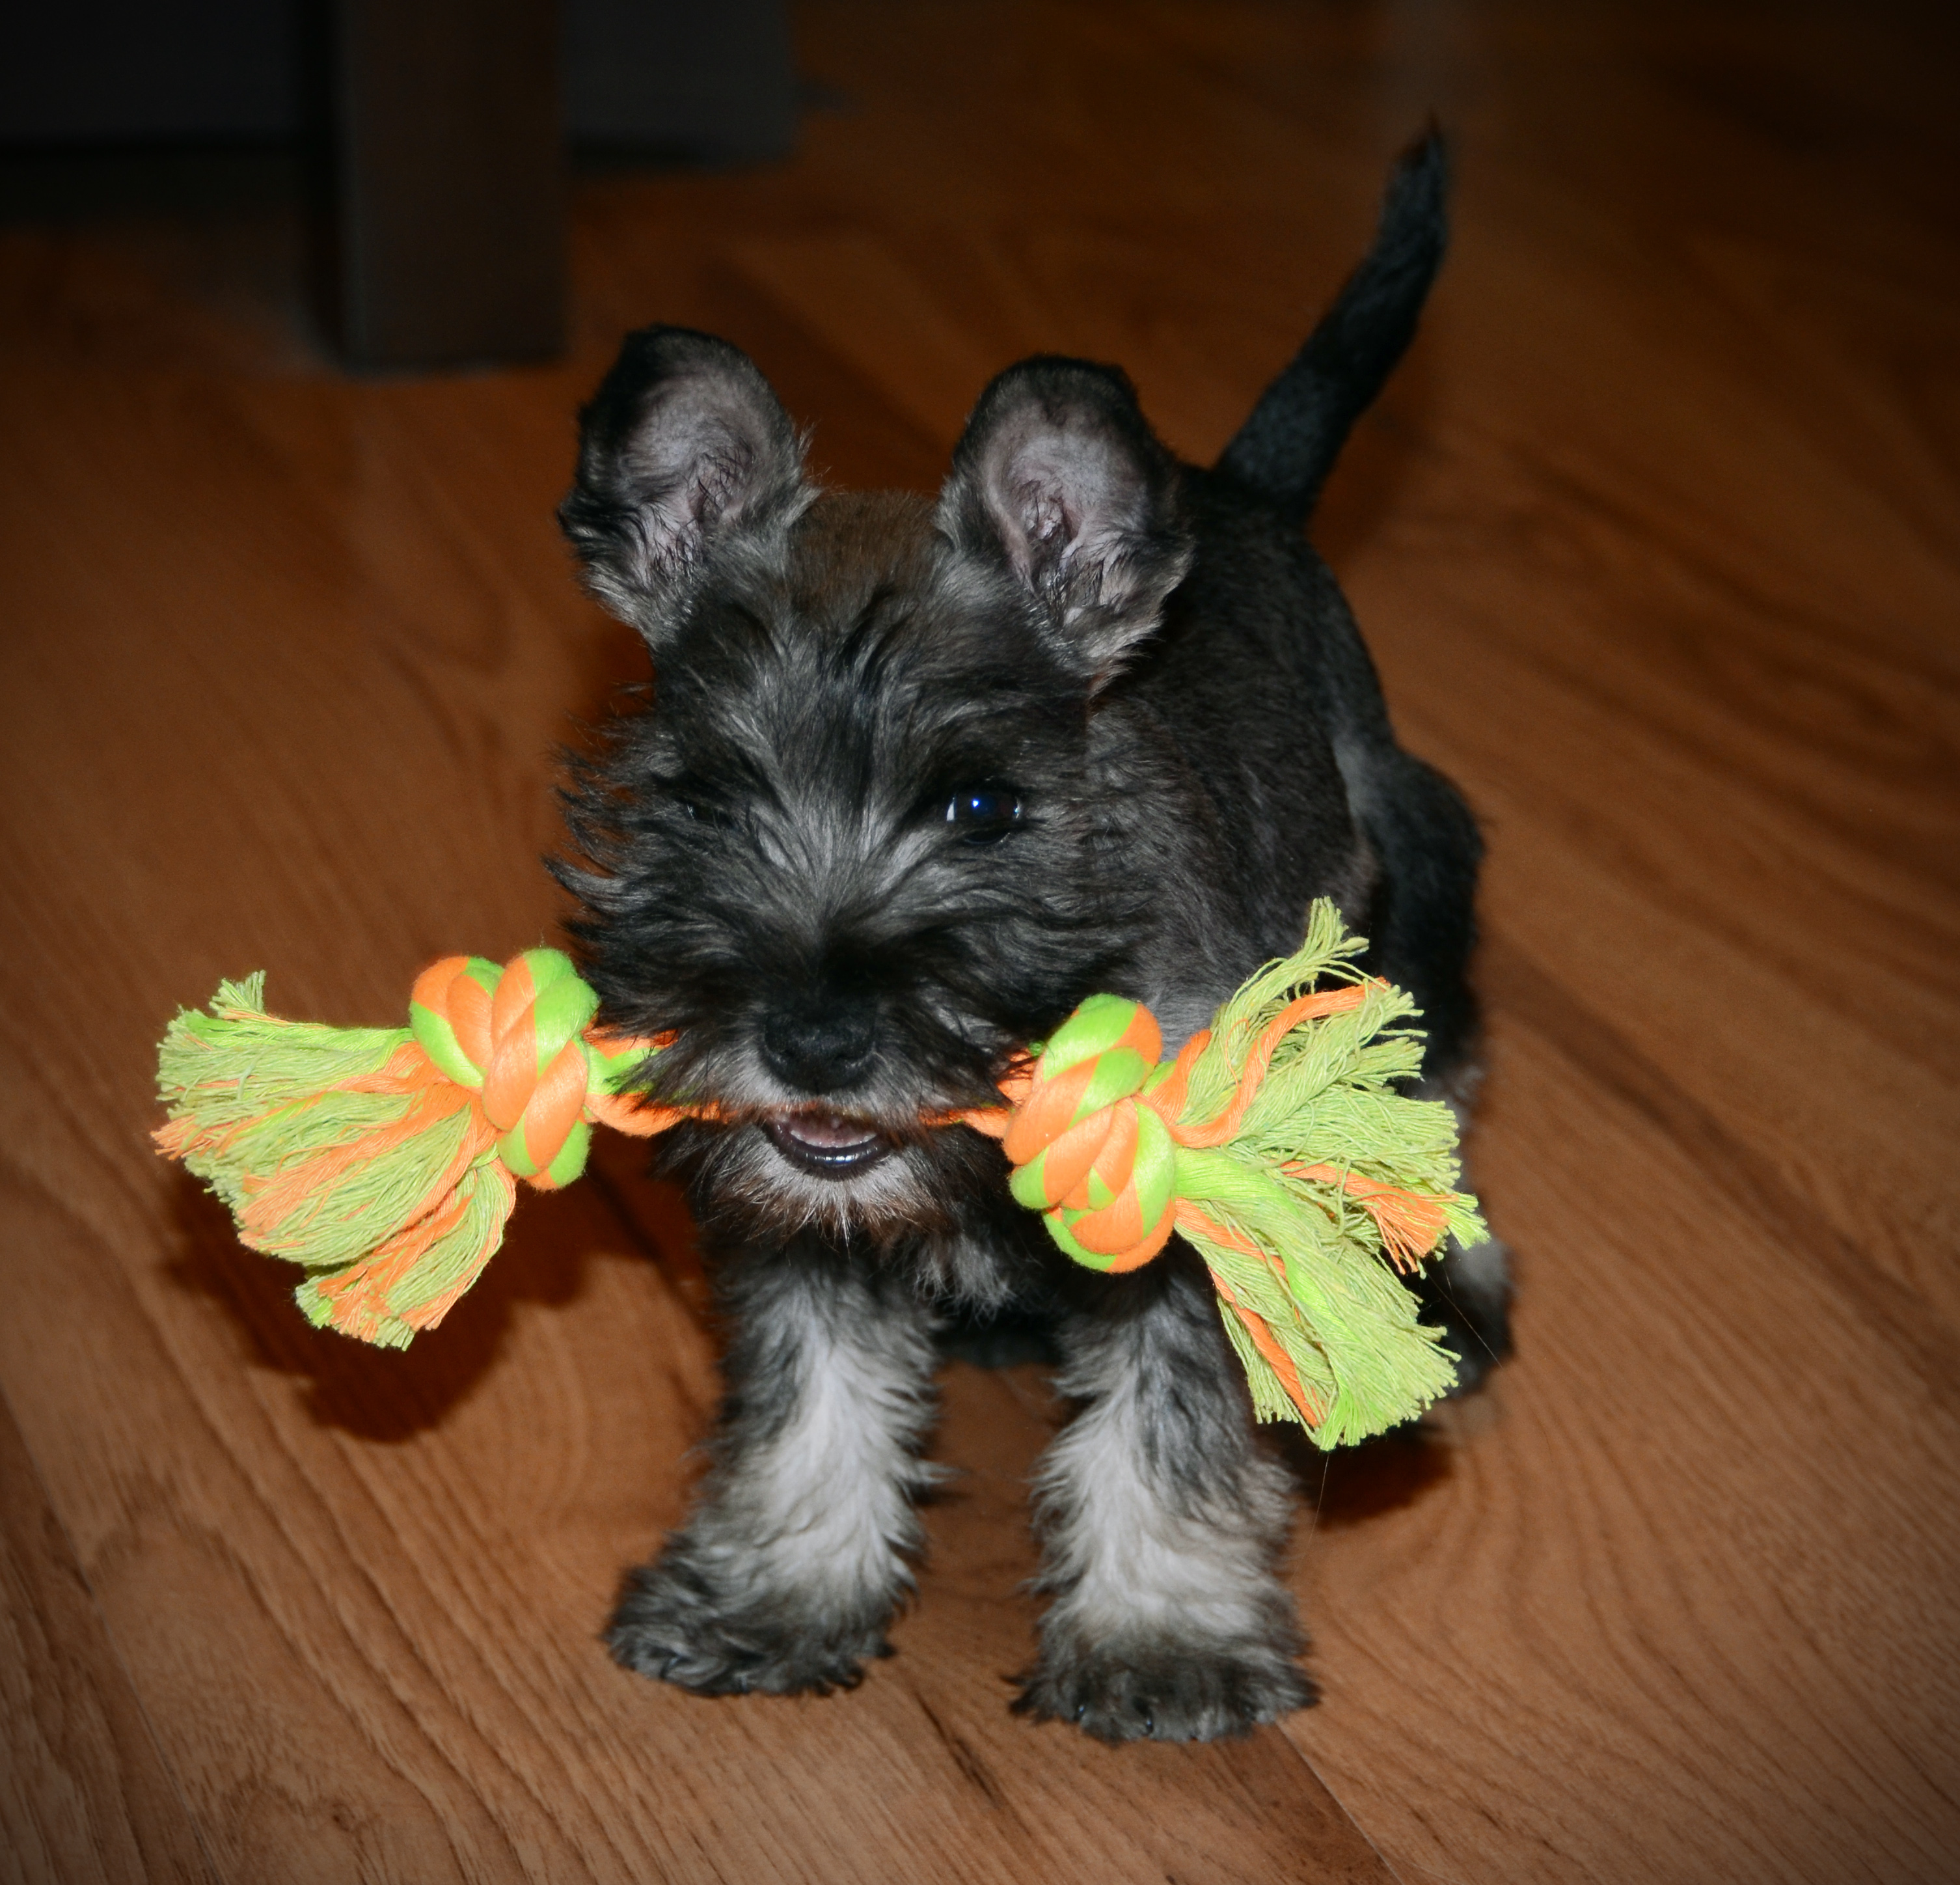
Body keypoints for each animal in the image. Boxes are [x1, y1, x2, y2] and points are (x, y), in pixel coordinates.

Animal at [554, 131, 1510, 1743]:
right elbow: (808, 1400)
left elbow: (1170, 1424)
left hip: (1412, 916)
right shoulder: (796, 1214)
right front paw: (772, 1590)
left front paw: (1163, 1638)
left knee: (1432, 1095)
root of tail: (1238, 495)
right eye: (703, 796)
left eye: (982, 802)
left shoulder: (1197, 1208)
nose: (812, 1037)